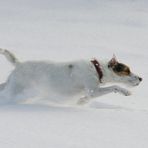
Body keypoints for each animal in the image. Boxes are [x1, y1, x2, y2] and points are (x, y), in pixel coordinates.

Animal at [0, 48, 142, 104]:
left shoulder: (90, 92)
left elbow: (86, 98)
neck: (97, 69)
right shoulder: (93, 90)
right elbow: (114, 87)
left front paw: (81, 101)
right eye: (127, 70)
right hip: (17, 87)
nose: (141, 78)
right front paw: (125, 91)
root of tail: (19, 64)